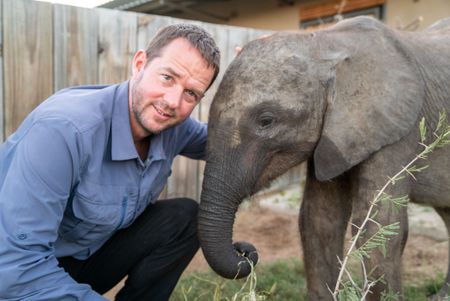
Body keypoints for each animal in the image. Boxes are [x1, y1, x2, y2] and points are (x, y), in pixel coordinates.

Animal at [199, 17, 450, 300]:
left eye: (266, 121)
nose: (245, 250)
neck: (323, 43)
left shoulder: (399, 128)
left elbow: (378, 225)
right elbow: (319, 218)